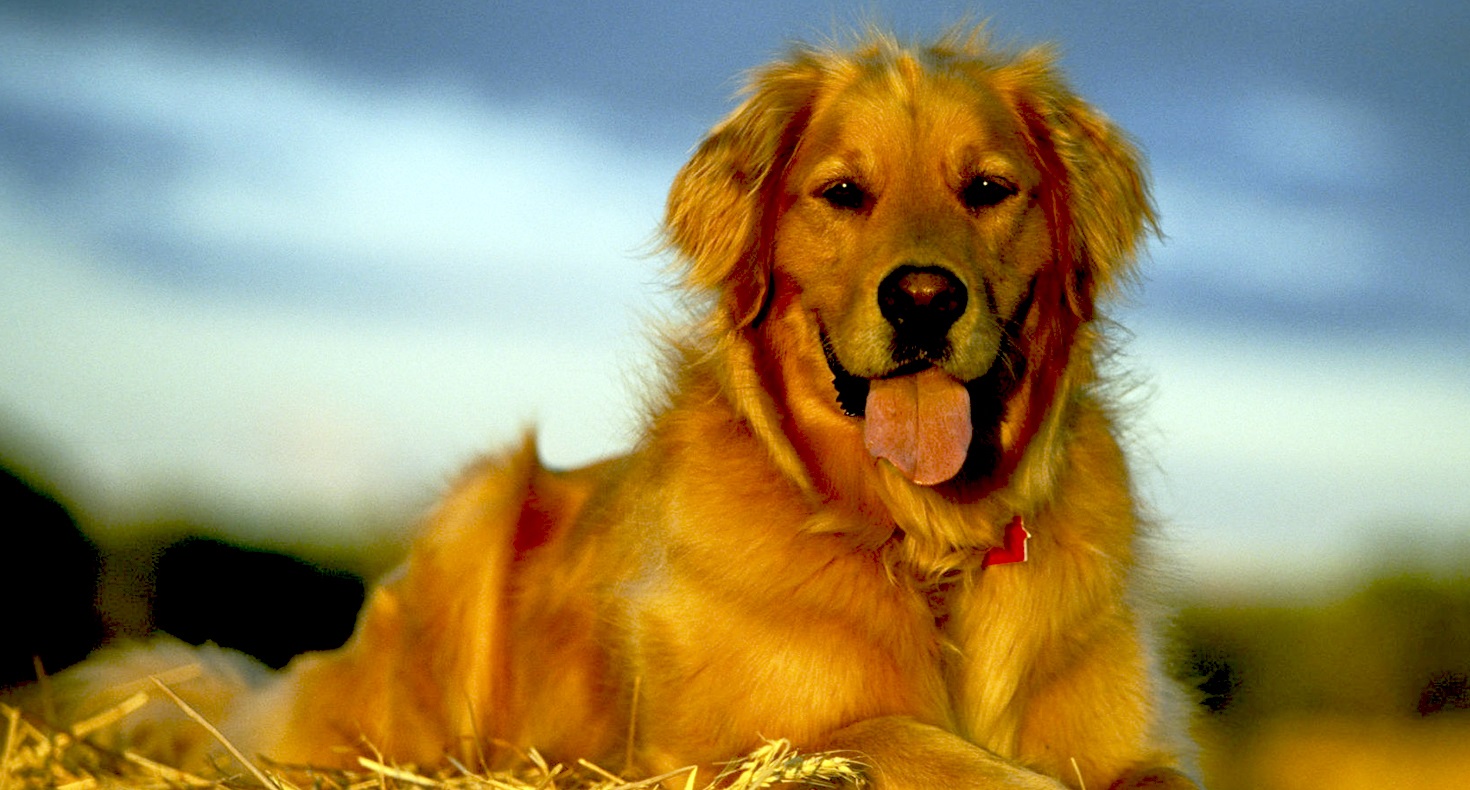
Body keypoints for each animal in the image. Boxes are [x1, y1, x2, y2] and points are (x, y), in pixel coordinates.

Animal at [31, 24, 1205, 788]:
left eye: (989, 189)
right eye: (842, 193)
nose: (924, 298)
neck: (926, 546)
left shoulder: (1143, 744)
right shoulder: (721, 747)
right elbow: (904, 738)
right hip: (478, 506)